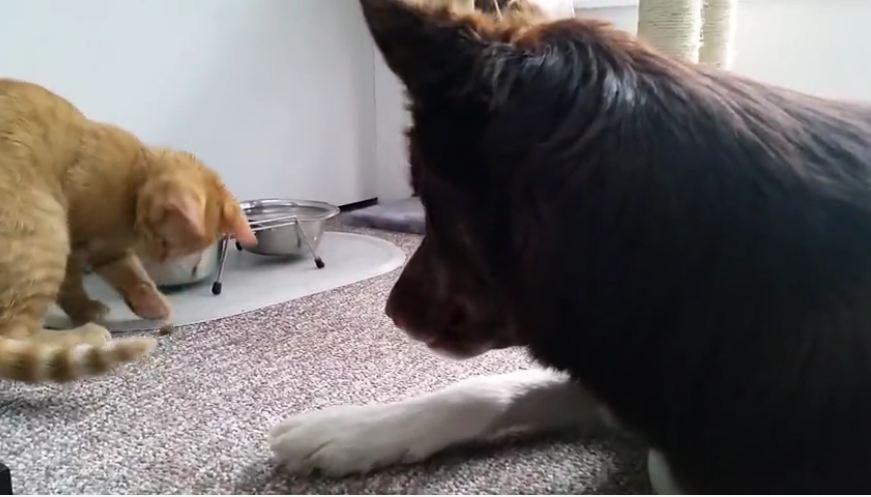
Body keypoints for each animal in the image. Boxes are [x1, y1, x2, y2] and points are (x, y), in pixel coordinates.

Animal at [0, 78, 258, 384]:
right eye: (164, 242)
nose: (157, 258)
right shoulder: (74, 243)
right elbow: (73, 287)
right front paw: (86, 311)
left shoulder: (110, 250)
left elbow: (132, 275)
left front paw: (152, 304)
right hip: (47, 229)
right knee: (14, 333)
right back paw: (80, 336)